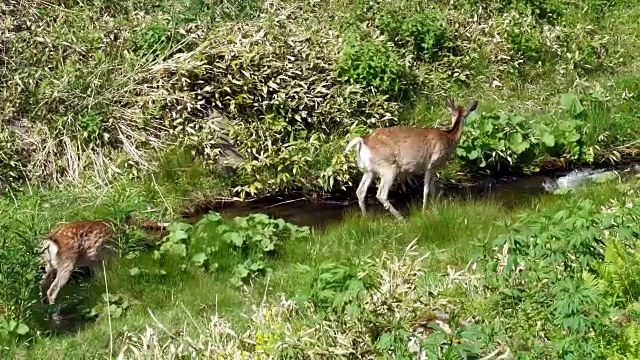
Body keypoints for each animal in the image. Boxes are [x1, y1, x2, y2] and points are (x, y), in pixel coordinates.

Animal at [344, 96, 476, 219]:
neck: (449, 138)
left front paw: (435, 207)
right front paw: (424, 211)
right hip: (388, 167)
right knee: (381, 194)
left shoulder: (434, 168)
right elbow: (426, 189)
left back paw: (366, 217)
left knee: (360, 191)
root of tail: (364, 140)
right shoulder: (431, 164)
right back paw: (401, 218)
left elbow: (433, 188)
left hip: (369, 170)